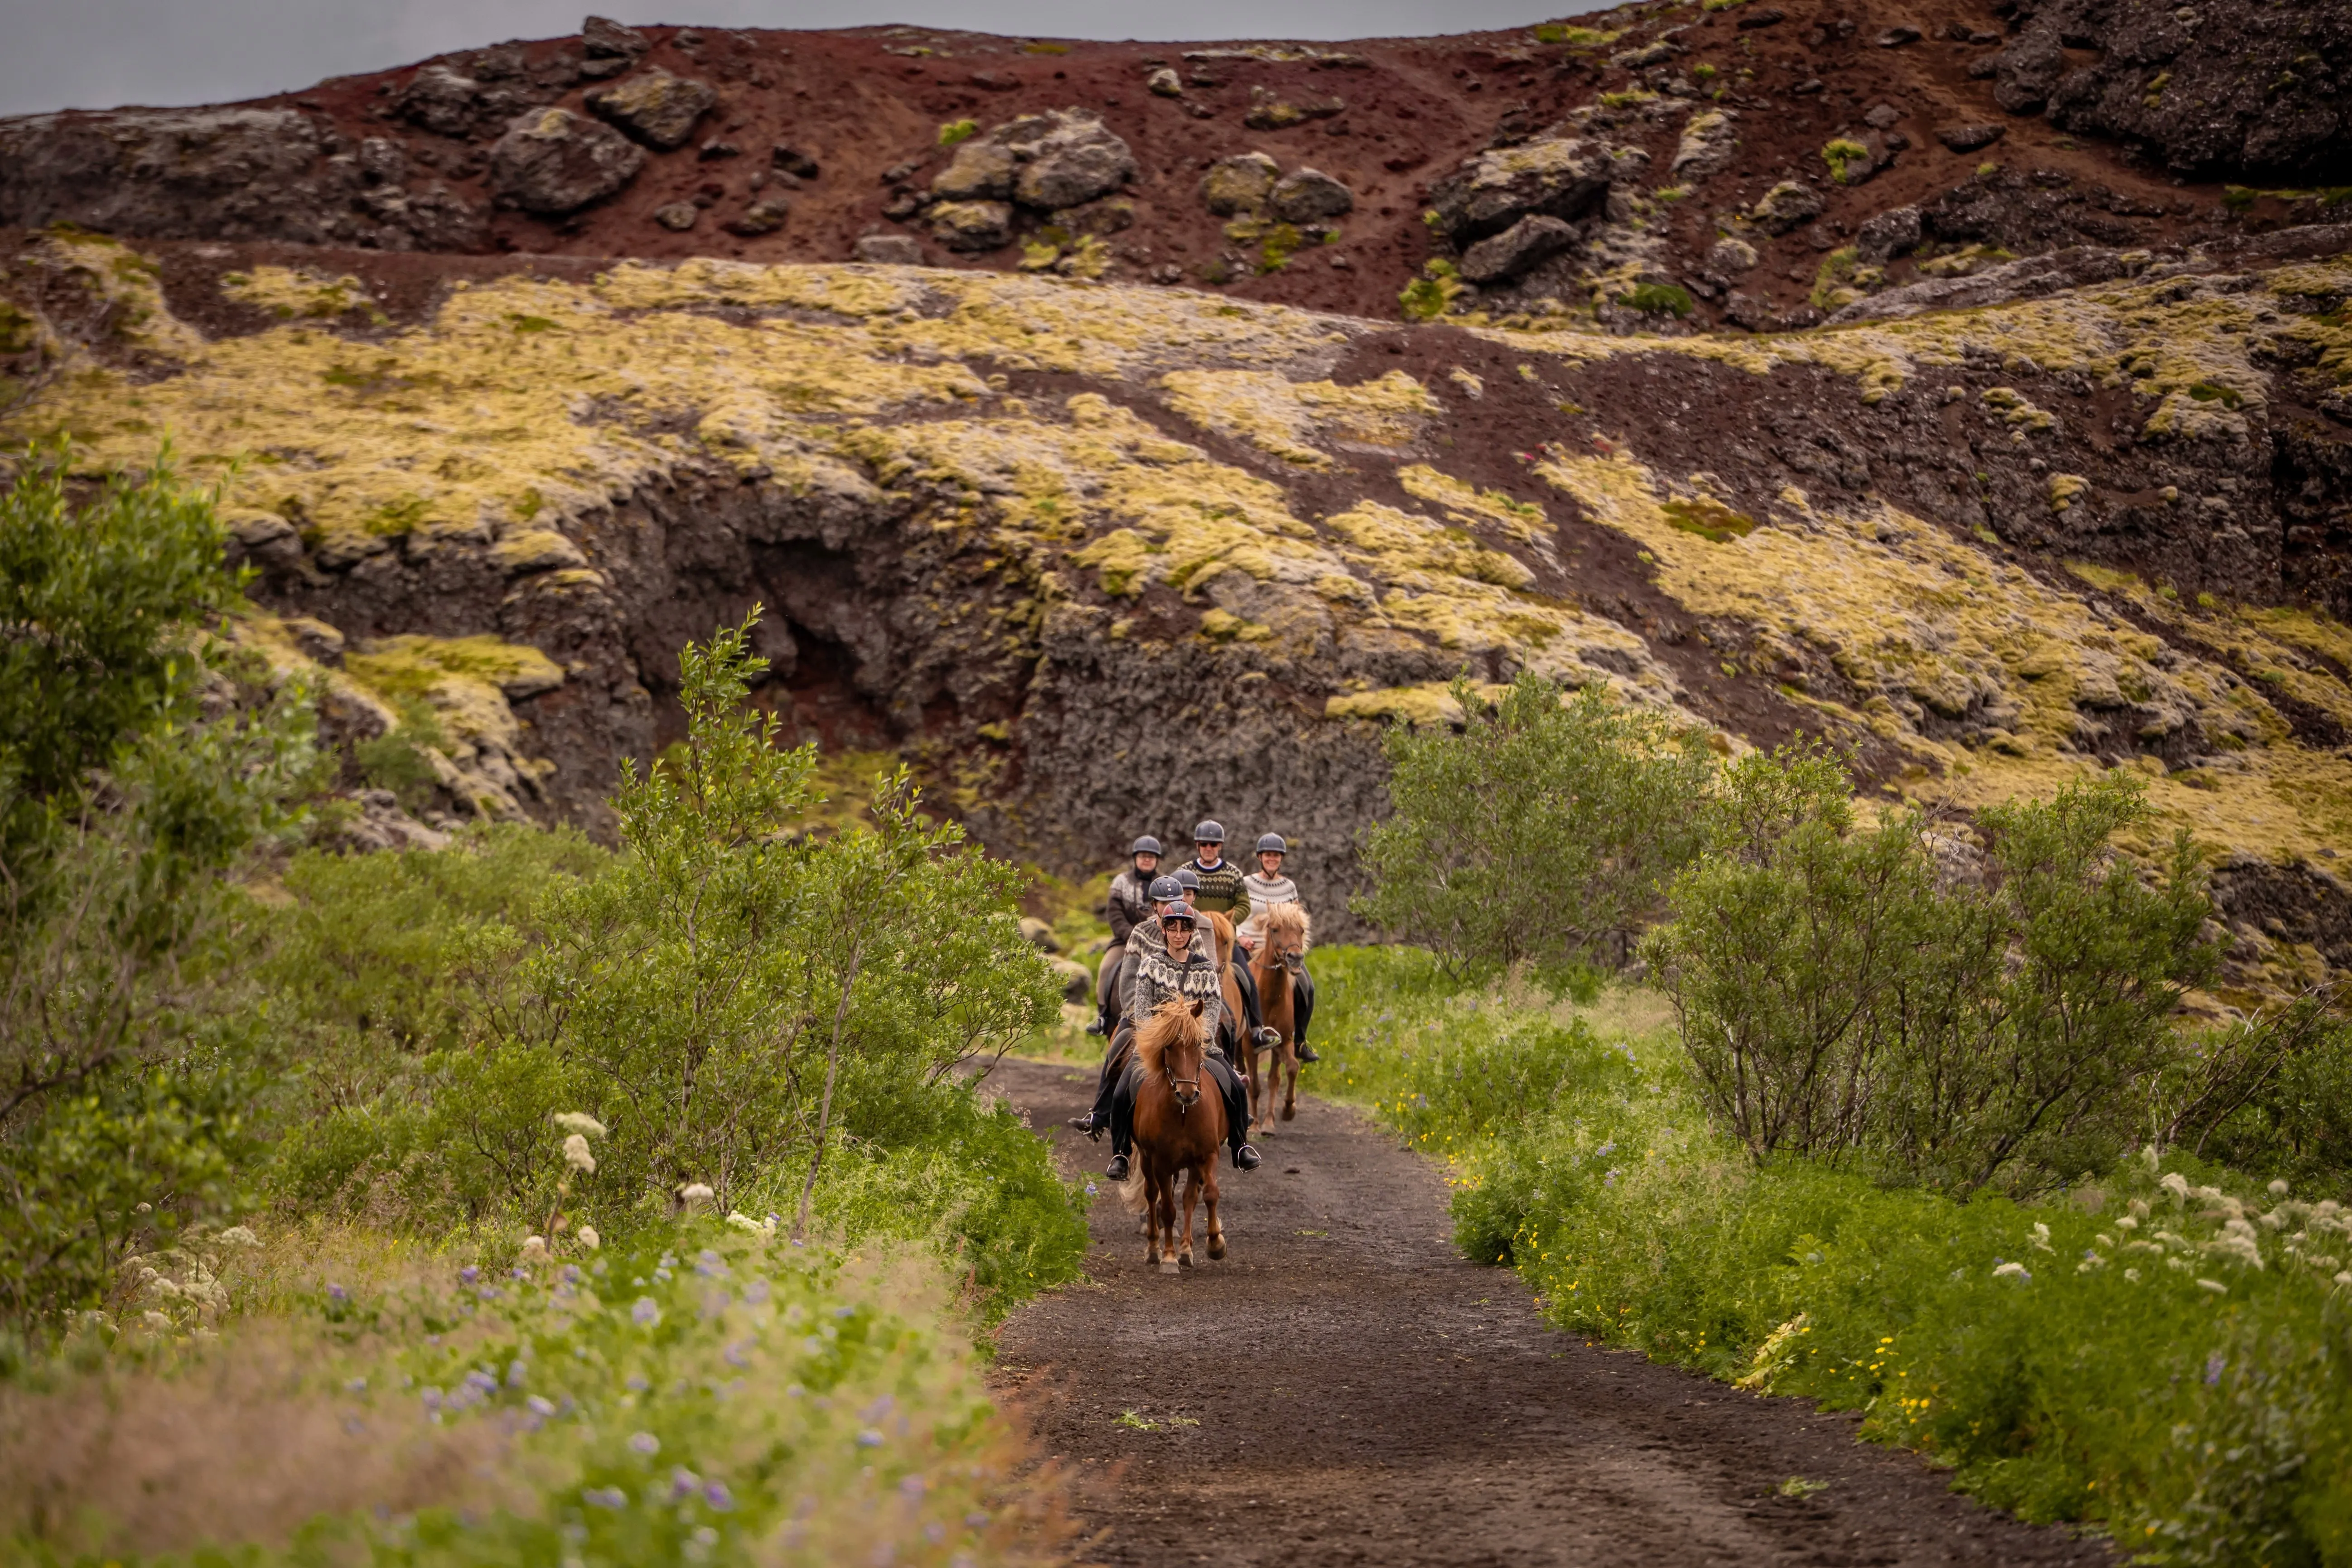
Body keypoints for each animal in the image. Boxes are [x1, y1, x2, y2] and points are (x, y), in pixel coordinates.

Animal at [1115, 997, 1228, 1273]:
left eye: (1198, 1044)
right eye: (1168, 1046)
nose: (1188, 1094)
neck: (1183, 1113)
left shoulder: (1207, 1156)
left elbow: (1209, 1194)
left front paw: (1215, 1244)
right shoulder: (1162, 1163)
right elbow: (1166, 1209)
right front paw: (1168, 1257)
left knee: (1189, 1199)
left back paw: (1186, 1250)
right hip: (1147, 1160)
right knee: (1152, 1195)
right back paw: (1154, 1249)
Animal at [1246, 903, 1311, 1133]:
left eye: (1301, 930)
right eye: (1274, 930)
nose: (1295, 958)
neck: (1270, 998)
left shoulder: (1284, 1041)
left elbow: (1289, 1070)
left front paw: (1285, 1112)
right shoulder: (1249, 1045)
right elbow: (1255, 1085)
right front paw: (1255, 1126)